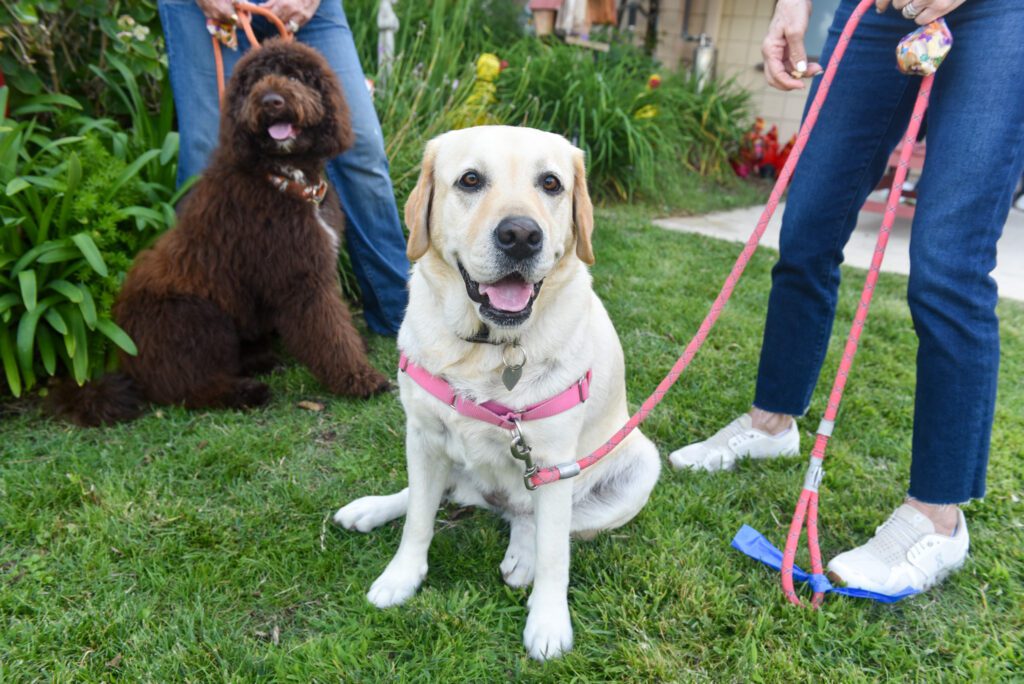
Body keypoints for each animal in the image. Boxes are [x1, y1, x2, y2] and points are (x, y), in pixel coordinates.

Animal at [54, 40, 393, 423]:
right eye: (254, 81)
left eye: (295, 75)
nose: (271, 101)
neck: (282, 176)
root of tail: (126, 363)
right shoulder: (301, 277)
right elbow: (327, 331)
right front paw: (360, 379)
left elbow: (335, 322)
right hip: (197, 317)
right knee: (184, 388)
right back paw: (246, 391)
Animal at [331, 125, 659, 659]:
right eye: (470, 179)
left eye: (551, 183)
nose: (521, 235)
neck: (491, 348)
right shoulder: (422, 436)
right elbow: (418, 521)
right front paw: (401, 577)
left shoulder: (552, 461)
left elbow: (555, 553)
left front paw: (548, 622)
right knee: (432, 496)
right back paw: (371, 509)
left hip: (635, 467)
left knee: (540, 521)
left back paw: (522, 555)